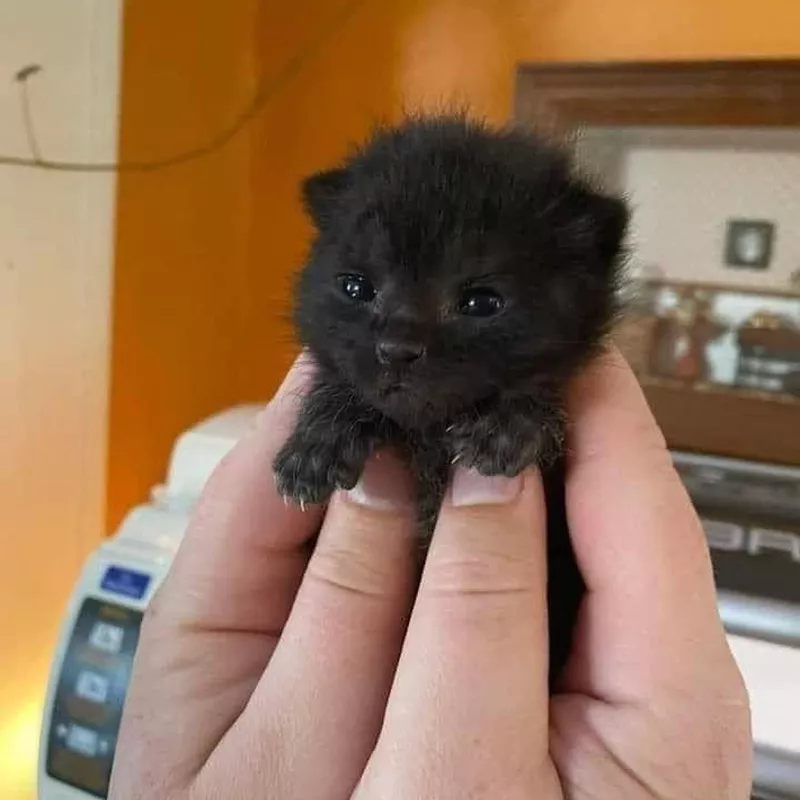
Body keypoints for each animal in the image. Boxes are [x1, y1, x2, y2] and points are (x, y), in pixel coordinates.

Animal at [276, 115, 632, 684]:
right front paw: (317, 442)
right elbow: (341, 385)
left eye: (482, 302)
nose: (397, 349)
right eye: (355, 288)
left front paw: (508, 426)